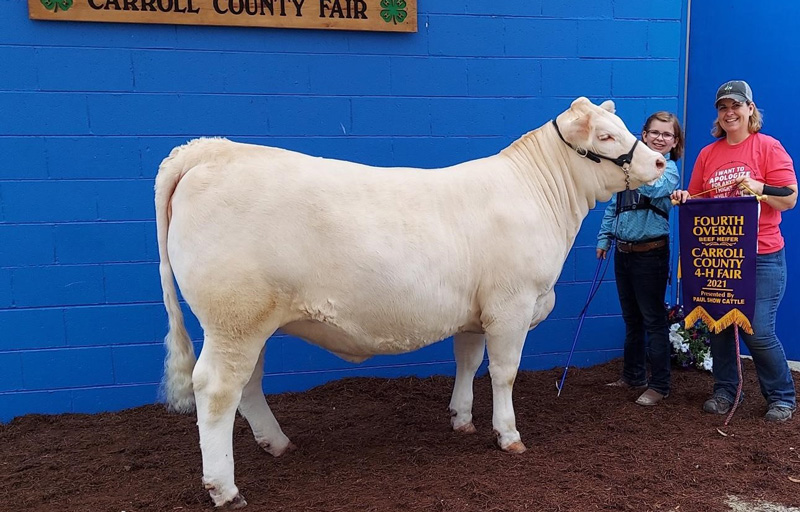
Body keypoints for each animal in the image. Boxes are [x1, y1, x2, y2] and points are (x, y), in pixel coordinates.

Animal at [153, 97, 664, 508]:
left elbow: (467, 362)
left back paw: (276, 443)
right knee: (217, 389)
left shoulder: (474, 314)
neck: (538, 195)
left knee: (249, 384)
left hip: (249, 322)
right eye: (605, 135)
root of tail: (214, 149)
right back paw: (225, 488)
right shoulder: (511, 305)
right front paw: (509, 434)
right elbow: (503, 373)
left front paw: (462, 419)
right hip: (235, 318)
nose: (660, 160)